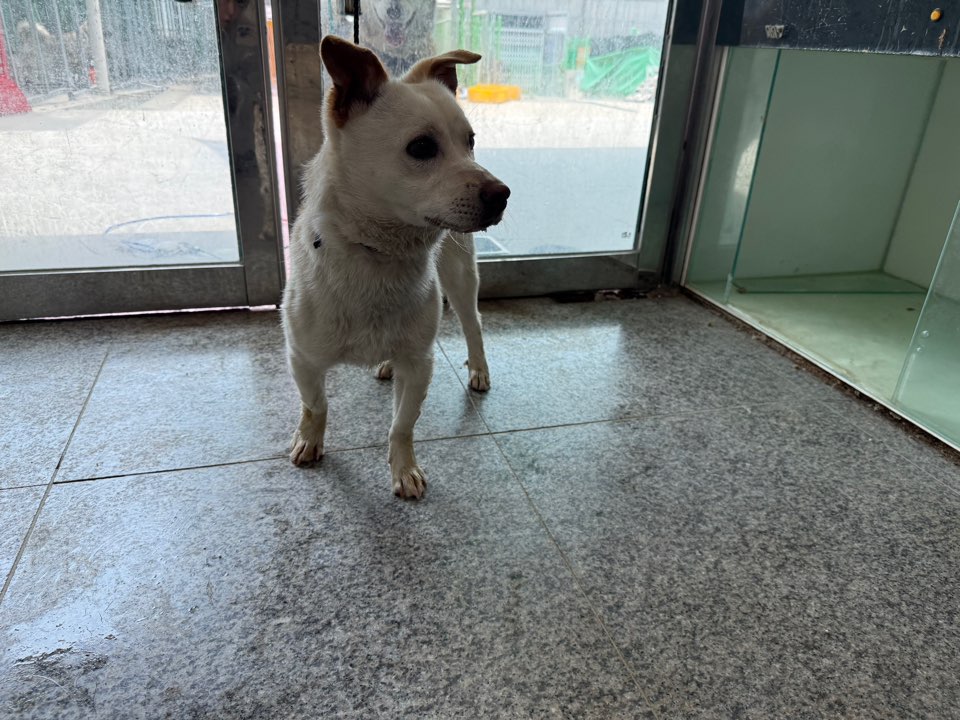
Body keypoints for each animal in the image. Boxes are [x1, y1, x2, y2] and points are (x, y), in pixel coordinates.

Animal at [281, 36, 510, 499]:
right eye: (421, 147)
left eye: (471, 141)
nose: (503, 194)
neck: (377, 256)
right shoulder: (302, 359)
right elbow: (316, 405)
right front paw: (310, 440)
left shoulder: (419, 366)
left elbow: (402, 425)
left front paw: (404, 469)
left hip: (460, 276)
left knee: (473, 323)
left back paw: (478, 369)